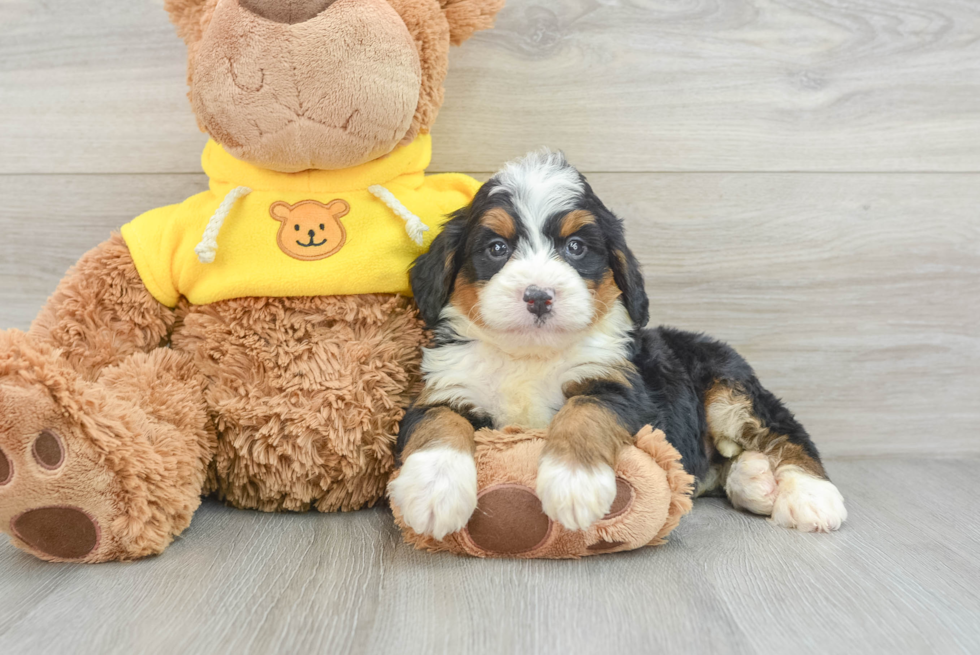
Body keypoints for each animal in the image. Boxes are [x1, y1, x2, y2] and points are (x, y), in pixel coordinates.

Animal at [386, 151, 848, 540]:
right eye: (497, 248)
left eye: (575, 247)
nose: (538, 296)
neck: (530, 356)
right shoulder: (446, 388)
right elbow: (439, 423)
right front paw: (432, 490)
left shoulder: (622, 385)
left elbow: (585, 411)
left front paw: (574, 482)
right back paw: (754, 480)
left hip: (729, 389)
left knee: (786, 433)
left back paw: (810, 496)